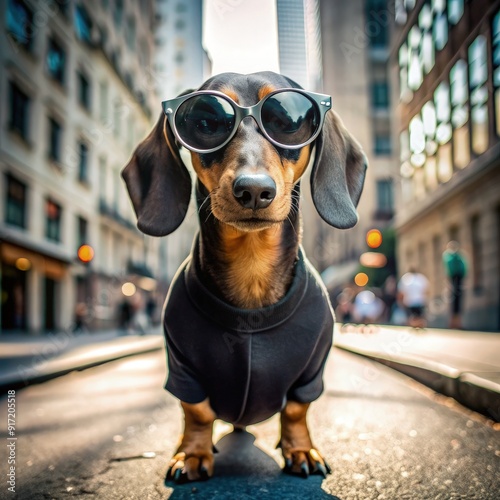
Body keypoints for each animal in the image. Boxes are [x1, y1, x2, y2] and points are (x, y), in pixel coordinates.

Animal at [122, 72, 368, 482]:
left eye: (287, 122)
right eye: (206, 123)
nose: (253, 189)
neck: (251, 267)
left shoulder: (312, 372)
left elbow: (297, 410)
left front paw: (301, 449)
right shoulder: (183, 371)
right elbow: (197, 412)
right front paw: (192, 453)